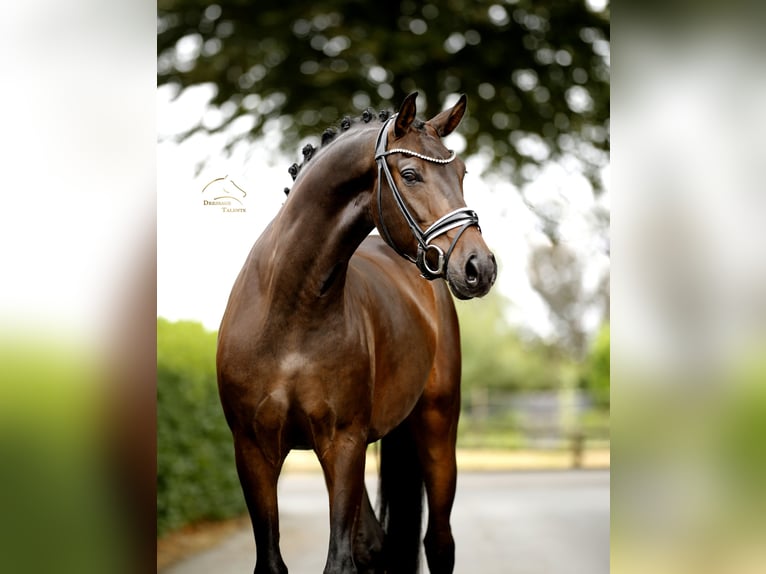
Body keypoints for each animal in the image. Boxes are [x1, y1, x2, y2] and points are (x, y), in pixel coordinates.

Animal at [216, 92, 497, 574]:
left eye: (461, 174)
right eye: (410, 174)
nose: (479, 267)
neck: (290, 316)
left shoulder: (343, 444)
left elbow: (339, 561)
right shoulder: (252, 451)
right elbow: (273, 560)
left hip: (438, 430)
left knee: (439, 542)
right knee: (375, 543)